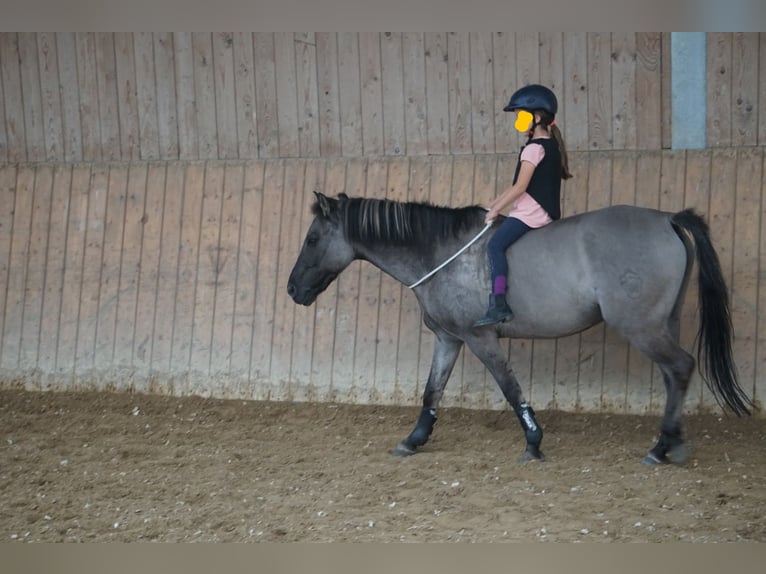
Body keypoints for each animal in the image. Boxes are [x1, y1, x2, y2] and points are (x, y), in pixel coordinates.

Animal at [288, 194, 756, 468]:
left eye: (312, 239)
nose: (293, 290)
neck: (440, 253)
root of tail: (666, 219)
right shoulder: (450, 338)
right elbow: (431, 391)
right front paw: (414, 439)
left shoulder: (480, 338)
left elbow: (510, 388)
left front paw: (533, 442)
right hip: (660, 324)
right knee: (674, 375)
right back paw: (670, 442)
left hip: (641, 327)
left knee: (681, 367)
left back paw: (662, 448)